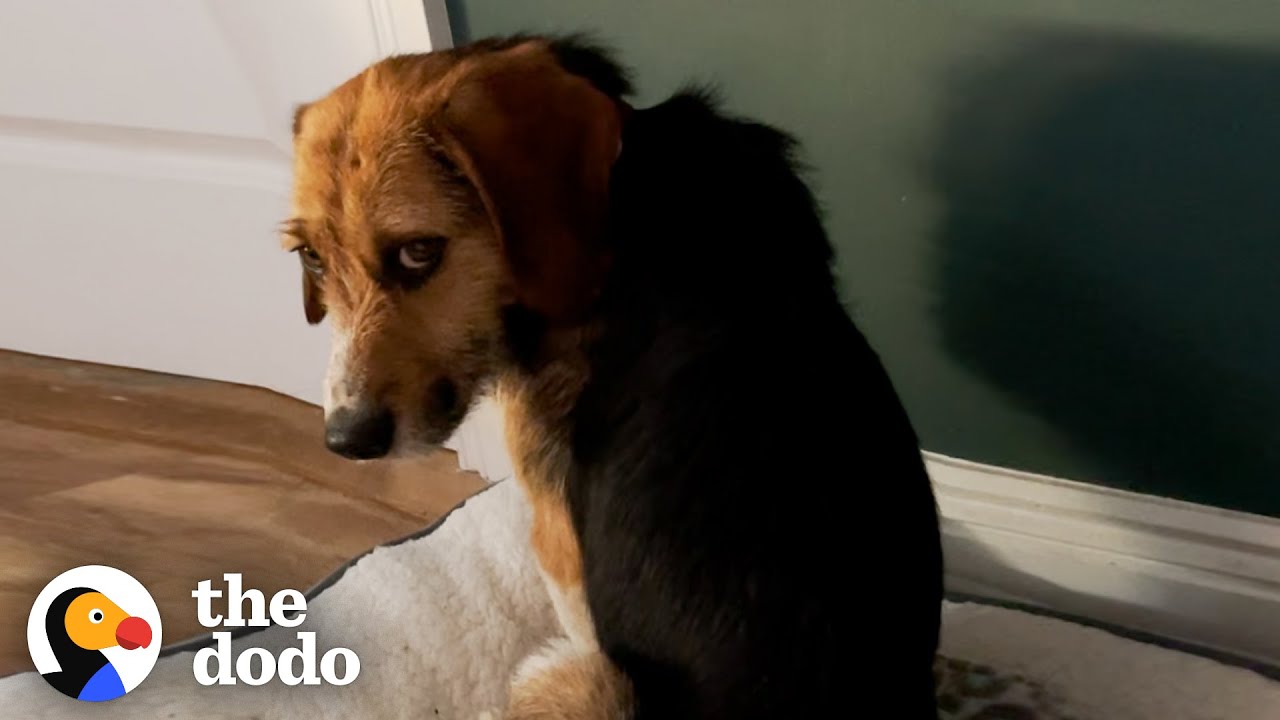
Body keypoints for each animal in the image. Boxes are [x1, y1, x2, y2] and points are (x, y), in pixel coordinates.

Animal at [285, 33, 947, 717]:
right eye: (311, 258)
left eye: (419, 252)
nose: (347, 441)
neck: (630, 193)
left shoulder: (561, 551)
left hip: (577, 676)